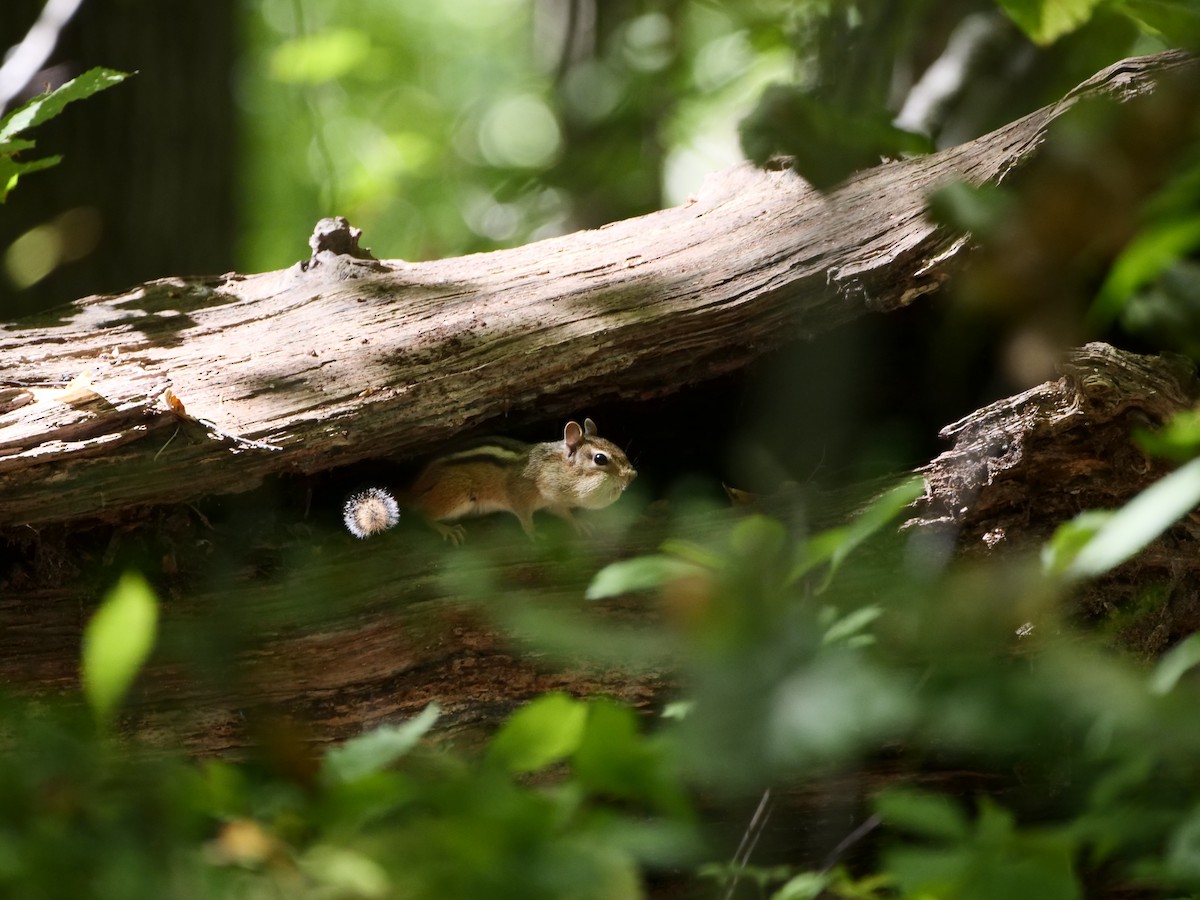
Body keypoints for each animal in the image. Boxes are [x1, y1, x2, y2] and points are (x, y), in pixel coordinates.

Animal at [343, 418, 637, 545]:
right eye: (600, 459)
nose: (632, 476)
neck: (552, 468)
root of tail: (414, 488)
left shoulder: (554, 501)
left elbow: (564, 513)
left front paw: (578, 523)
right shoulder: (520, 494)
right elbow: (524, 517)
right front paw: (533, 533)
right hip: (457, 494)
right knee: (424, 512)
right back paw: (445, 529)